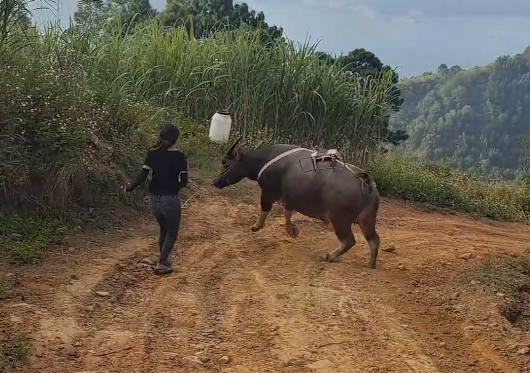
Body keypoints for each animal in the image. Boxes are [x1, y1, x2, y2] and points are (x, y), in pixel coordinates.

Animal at [210, 135, 380, 268]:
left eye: (225, 162)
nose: (215, 181)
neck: (262, 160)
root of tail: (366, 181)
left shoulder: (268, 192)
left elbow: (266, 209)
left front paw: (256, 226)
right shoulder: (291, 199)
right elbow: (287, 213)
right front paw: (292, 231)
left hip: (339, 219)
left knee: (349, 241)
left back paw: (330, 256)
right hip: (367, 219)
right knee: (374, 240)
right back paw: (371, 263)